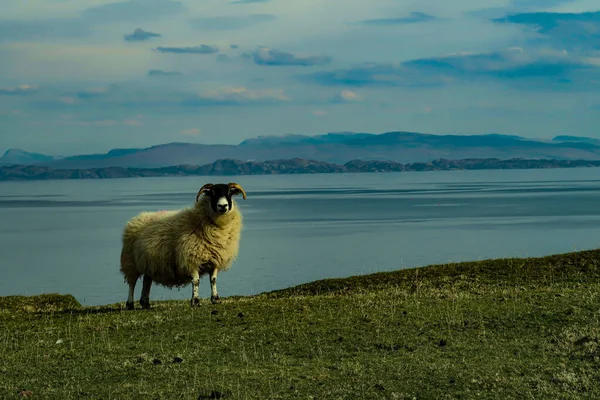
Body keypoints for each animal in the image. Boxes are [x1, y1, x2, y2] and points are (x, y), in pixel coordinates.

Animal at [119, 181, 246, 310]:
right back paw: (130, 304)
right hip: (130, 262)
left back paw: (145, 303)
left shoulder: (215, 259)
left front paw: (216, 299)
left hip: (148, 263)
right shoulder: (191, 259)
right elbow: (196, 281)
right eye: (212, 193)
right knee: (132, 283)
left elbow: (213, 280)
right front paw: (195, 301)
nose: (223, 206)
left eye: (229, 192)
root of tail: (138, 217)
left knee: (147, 281)